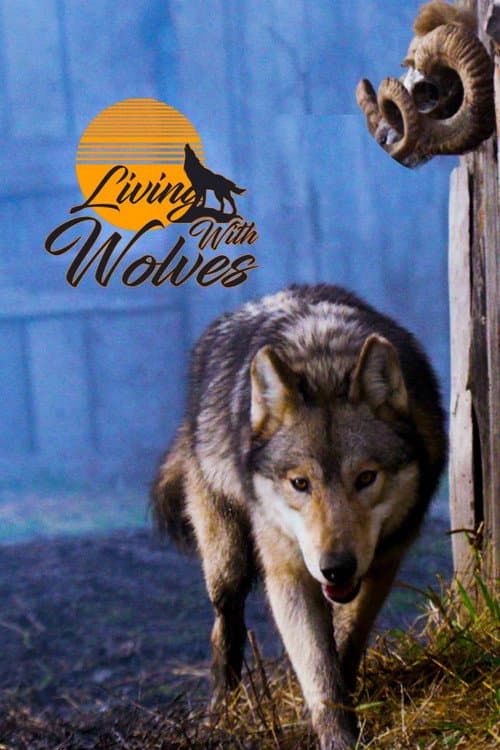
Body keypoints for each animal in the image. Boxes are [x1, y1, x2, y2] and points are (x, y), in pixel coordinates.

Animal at [152, 284, 447, 749]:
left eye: (366, 478)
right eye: (300, 483)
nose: (336, 567)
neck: (324, 361)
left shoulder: (384, 561)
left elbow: (345, 642)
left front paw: (350, 692)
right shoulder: (287, 572)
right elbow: (317, 670)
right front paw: (338, 736)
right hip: (227, 564)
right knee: (225, 627)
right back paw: (221, 714)